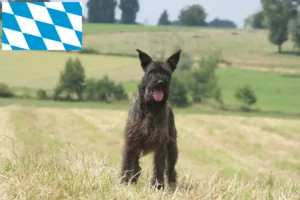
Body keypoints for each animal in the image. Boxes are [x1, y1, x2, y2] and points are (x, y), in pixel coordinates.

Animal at [120, 48, 182, 189]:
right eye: (152, 71)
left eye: (166, 73)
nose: (161, 82)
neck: (150, 108)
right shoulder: (131, 142)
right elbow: (127, 163)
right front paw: (123, 183)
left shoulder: (160, 145)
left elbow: (159, 167)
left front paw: (158, 187)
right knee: (136, 165)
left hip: (172, 147)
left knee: (170, 168)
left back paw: (172, 185)